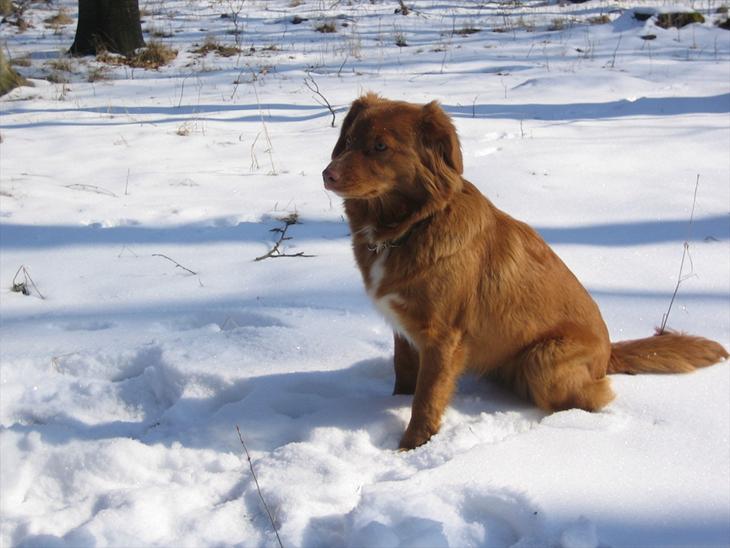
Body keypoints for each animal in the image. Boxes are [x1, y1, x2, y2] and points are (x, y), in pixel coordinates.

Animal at [322, 93, 728, 450]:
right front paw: (393, 407)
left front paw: (410, 448)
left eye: (380, 147)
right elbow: (405, 377)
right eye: (348, 140)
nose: (327, 175)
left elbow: (426, 401)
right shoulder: (404, 331)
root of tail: (608, 352)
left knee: (590, 397)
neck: (411, 226)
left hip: (542, 359)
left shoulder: (442, 337)